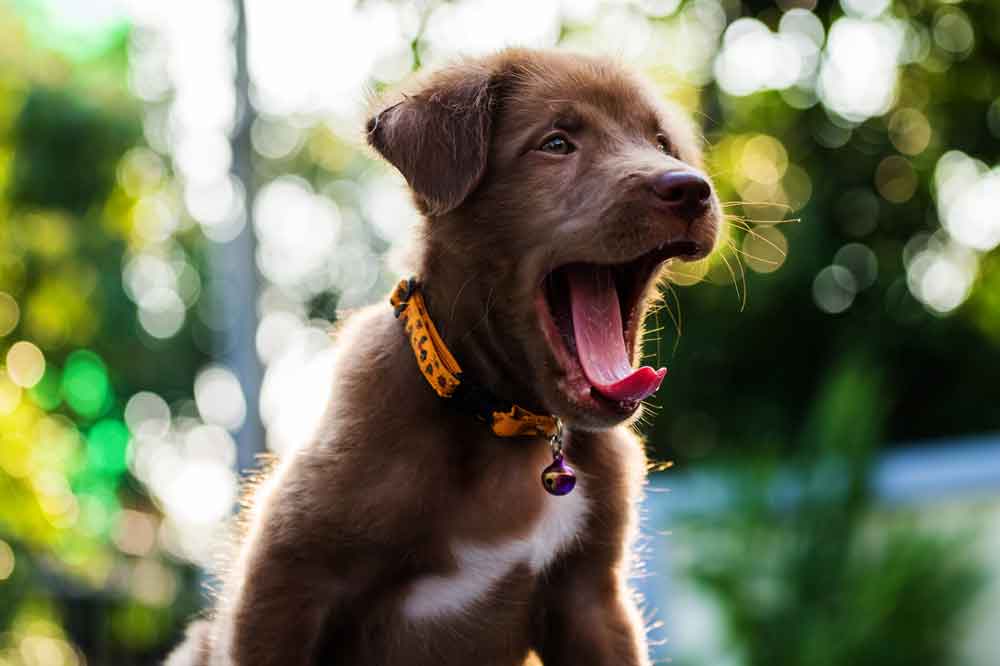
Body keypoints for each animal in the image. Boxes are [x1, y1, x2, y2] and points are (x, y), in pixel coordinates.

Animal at [170, 48, 720, 664]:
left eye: (661, 142)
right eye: (556, 143)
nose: (691, 188)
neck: (501, 425)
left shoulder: (592, 600)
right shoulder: (282, 581)